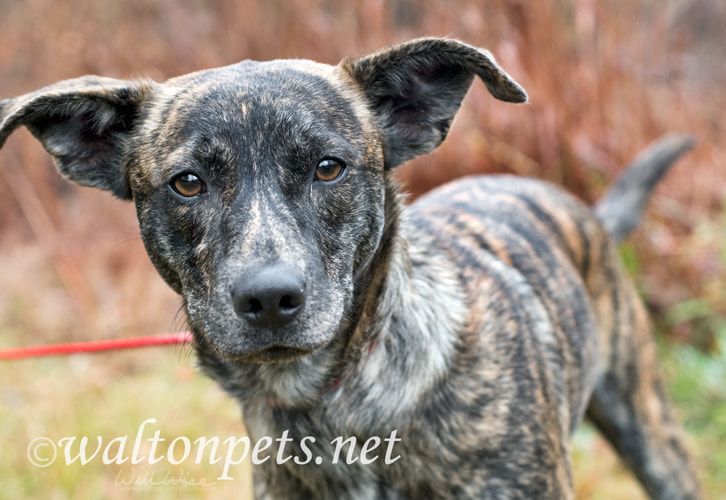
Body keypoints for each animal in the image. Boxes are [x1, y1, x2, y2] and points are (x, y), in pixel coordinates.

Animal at [1, 37, 704, 498]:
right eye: (188, 183)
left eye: (328, 167)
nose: (269, 299)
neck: (329, 406)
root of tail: (588, 212)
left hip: (652, 431)